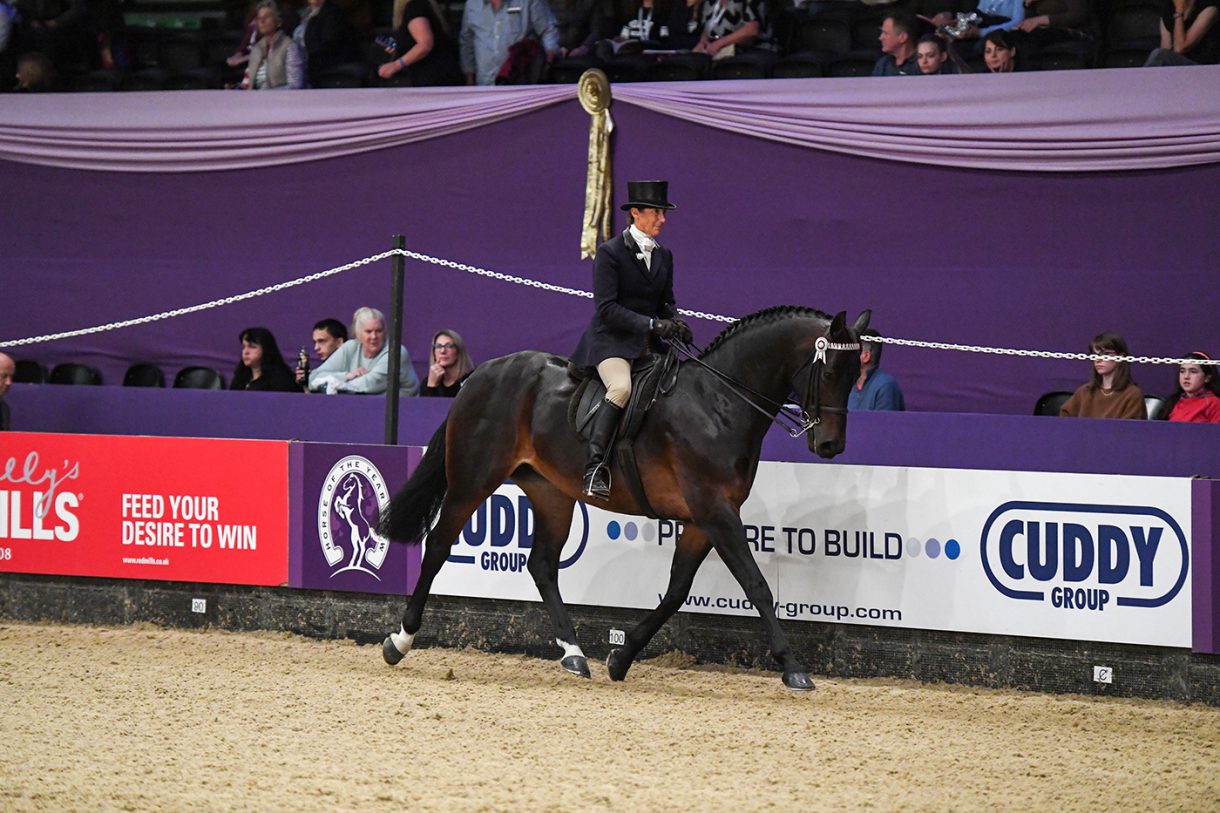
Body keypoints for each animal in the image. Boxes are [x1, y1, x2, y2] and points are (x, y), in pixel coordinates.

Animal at [379, 306, 870, 691]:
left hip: (552, 493)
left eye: (856, 376)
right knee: (439, 546)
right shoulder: (716, 512)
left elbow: (676, 591)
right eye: (829, 372)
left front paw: (621, 657)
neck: (718, 403)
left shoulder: (701, 520)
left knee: (542, 565)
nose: (831, 446)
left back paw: (574, 654)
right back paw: (398, 642)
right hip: (473, 478)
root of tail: (480, 374)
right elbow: (757, 586)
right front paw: (793, 668)